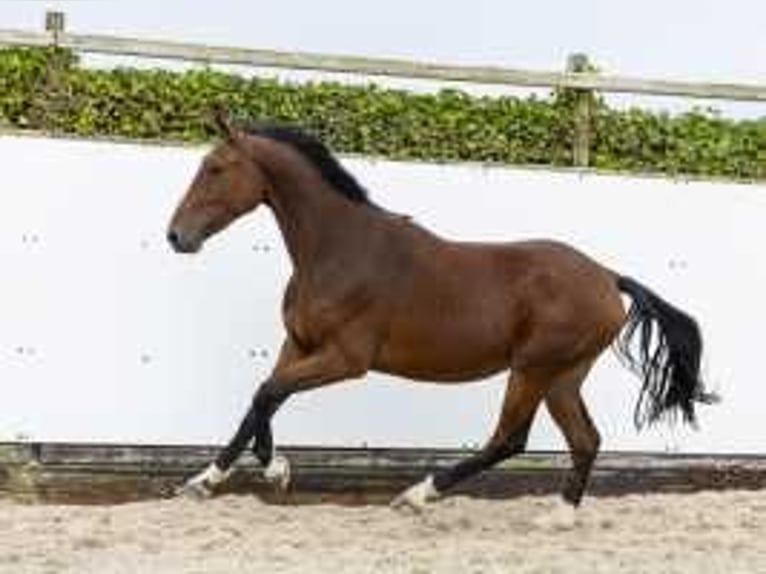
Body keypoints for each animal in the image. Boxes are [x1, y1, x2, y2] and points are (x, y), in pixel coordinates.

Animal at [165, 111, 716, 520]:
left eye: (215, 168)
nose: (176, 236)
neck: (339, 249)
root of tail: (607, 276)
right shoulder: (297, 345)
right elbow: (261, 401)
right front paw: (206, 481)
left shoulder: (346, 359)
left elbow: (266, 393)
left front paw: (275, 470)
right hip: (563, 375)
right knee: (584, 440)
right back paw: (559, 515)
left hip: (533, 368)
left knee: (509, 440)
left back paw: (417, 495)